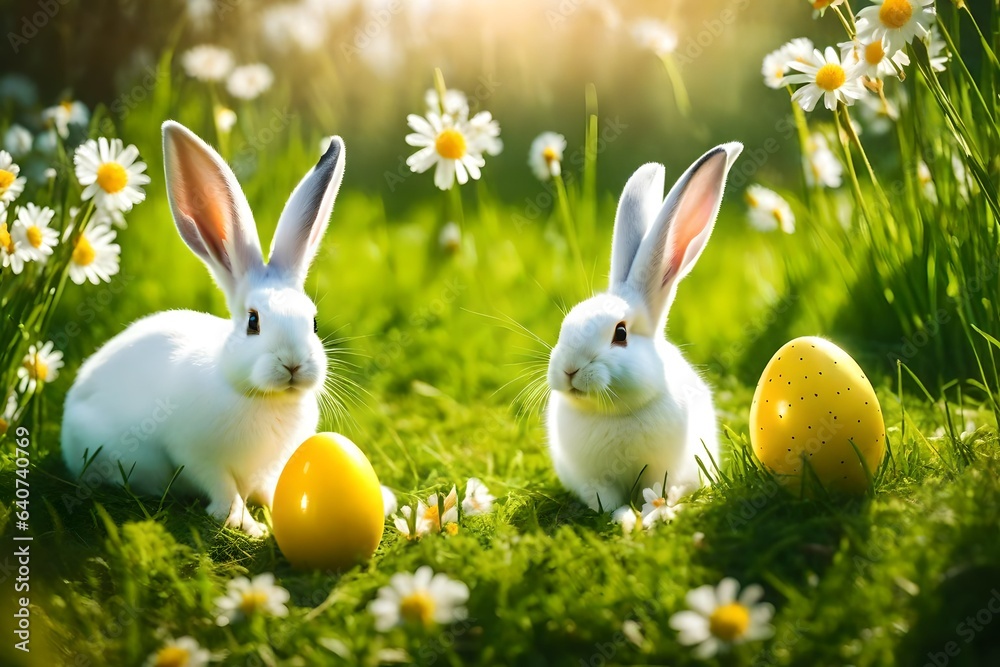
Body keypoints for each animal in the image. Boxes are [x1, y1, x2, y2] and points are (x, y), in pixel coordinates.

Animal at [61, 121, 345, 537]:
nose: (293, 365)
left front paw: (276, 511)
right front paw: (248, 525)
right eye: (253, 321)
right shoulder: (194, 454)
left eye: (313, 322)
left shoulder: (267, 467)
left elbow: (266, 486)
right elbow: (223, 488)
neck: (259, 397)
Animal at [546, 142, 743, 512]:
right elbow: (605, 501)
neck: (613, 413)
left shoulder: (661, 470)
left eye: (620, 334)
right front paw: (620, 515)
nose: (569, 370)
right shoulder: (596, 480)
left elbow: (657, 489)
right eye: (565, 325)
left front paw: (653, 512)